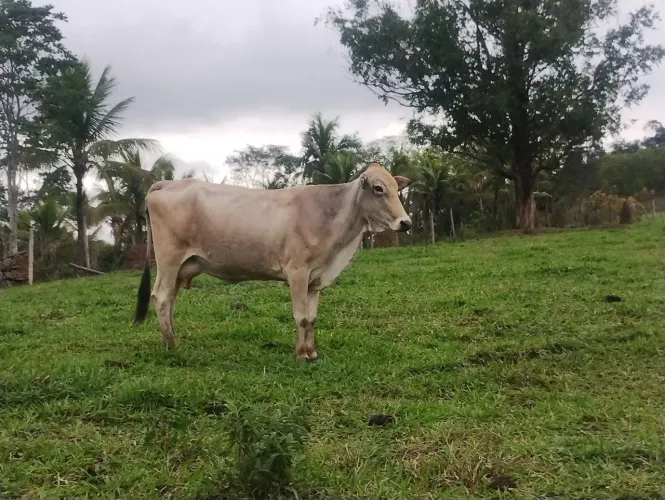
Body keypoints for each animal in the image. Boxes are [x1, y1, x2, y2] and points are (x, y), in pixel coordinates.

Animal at [133, 161, 411, 360]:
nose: (405, 222)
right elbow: (300, 316)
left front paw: (312, 351)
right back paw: (171, 346)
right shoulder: (297, 272)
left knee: (170, 300)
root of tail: (167, 184)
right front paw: (301, 354)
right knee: (162, 297)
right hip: (169, 261)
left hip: (181, 267)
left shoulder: (314, 280)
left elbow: (312, 318)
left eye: (397, 190)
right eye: (378, 189)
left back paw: (171, 339)